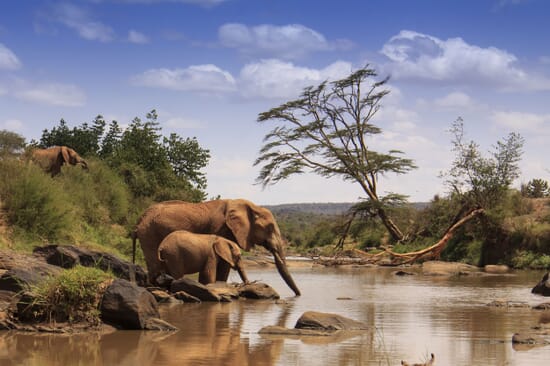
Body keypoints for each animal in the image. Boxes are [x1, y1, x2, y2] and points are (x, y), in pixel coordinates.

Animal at [132, 199, 304, 296]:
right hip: (150, 234)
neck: (250, 206)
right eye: (270, 228)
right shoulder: (221, 228)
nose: (298, 296)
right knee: (155, 265)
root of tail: (139, 218)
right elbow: (223, 264)